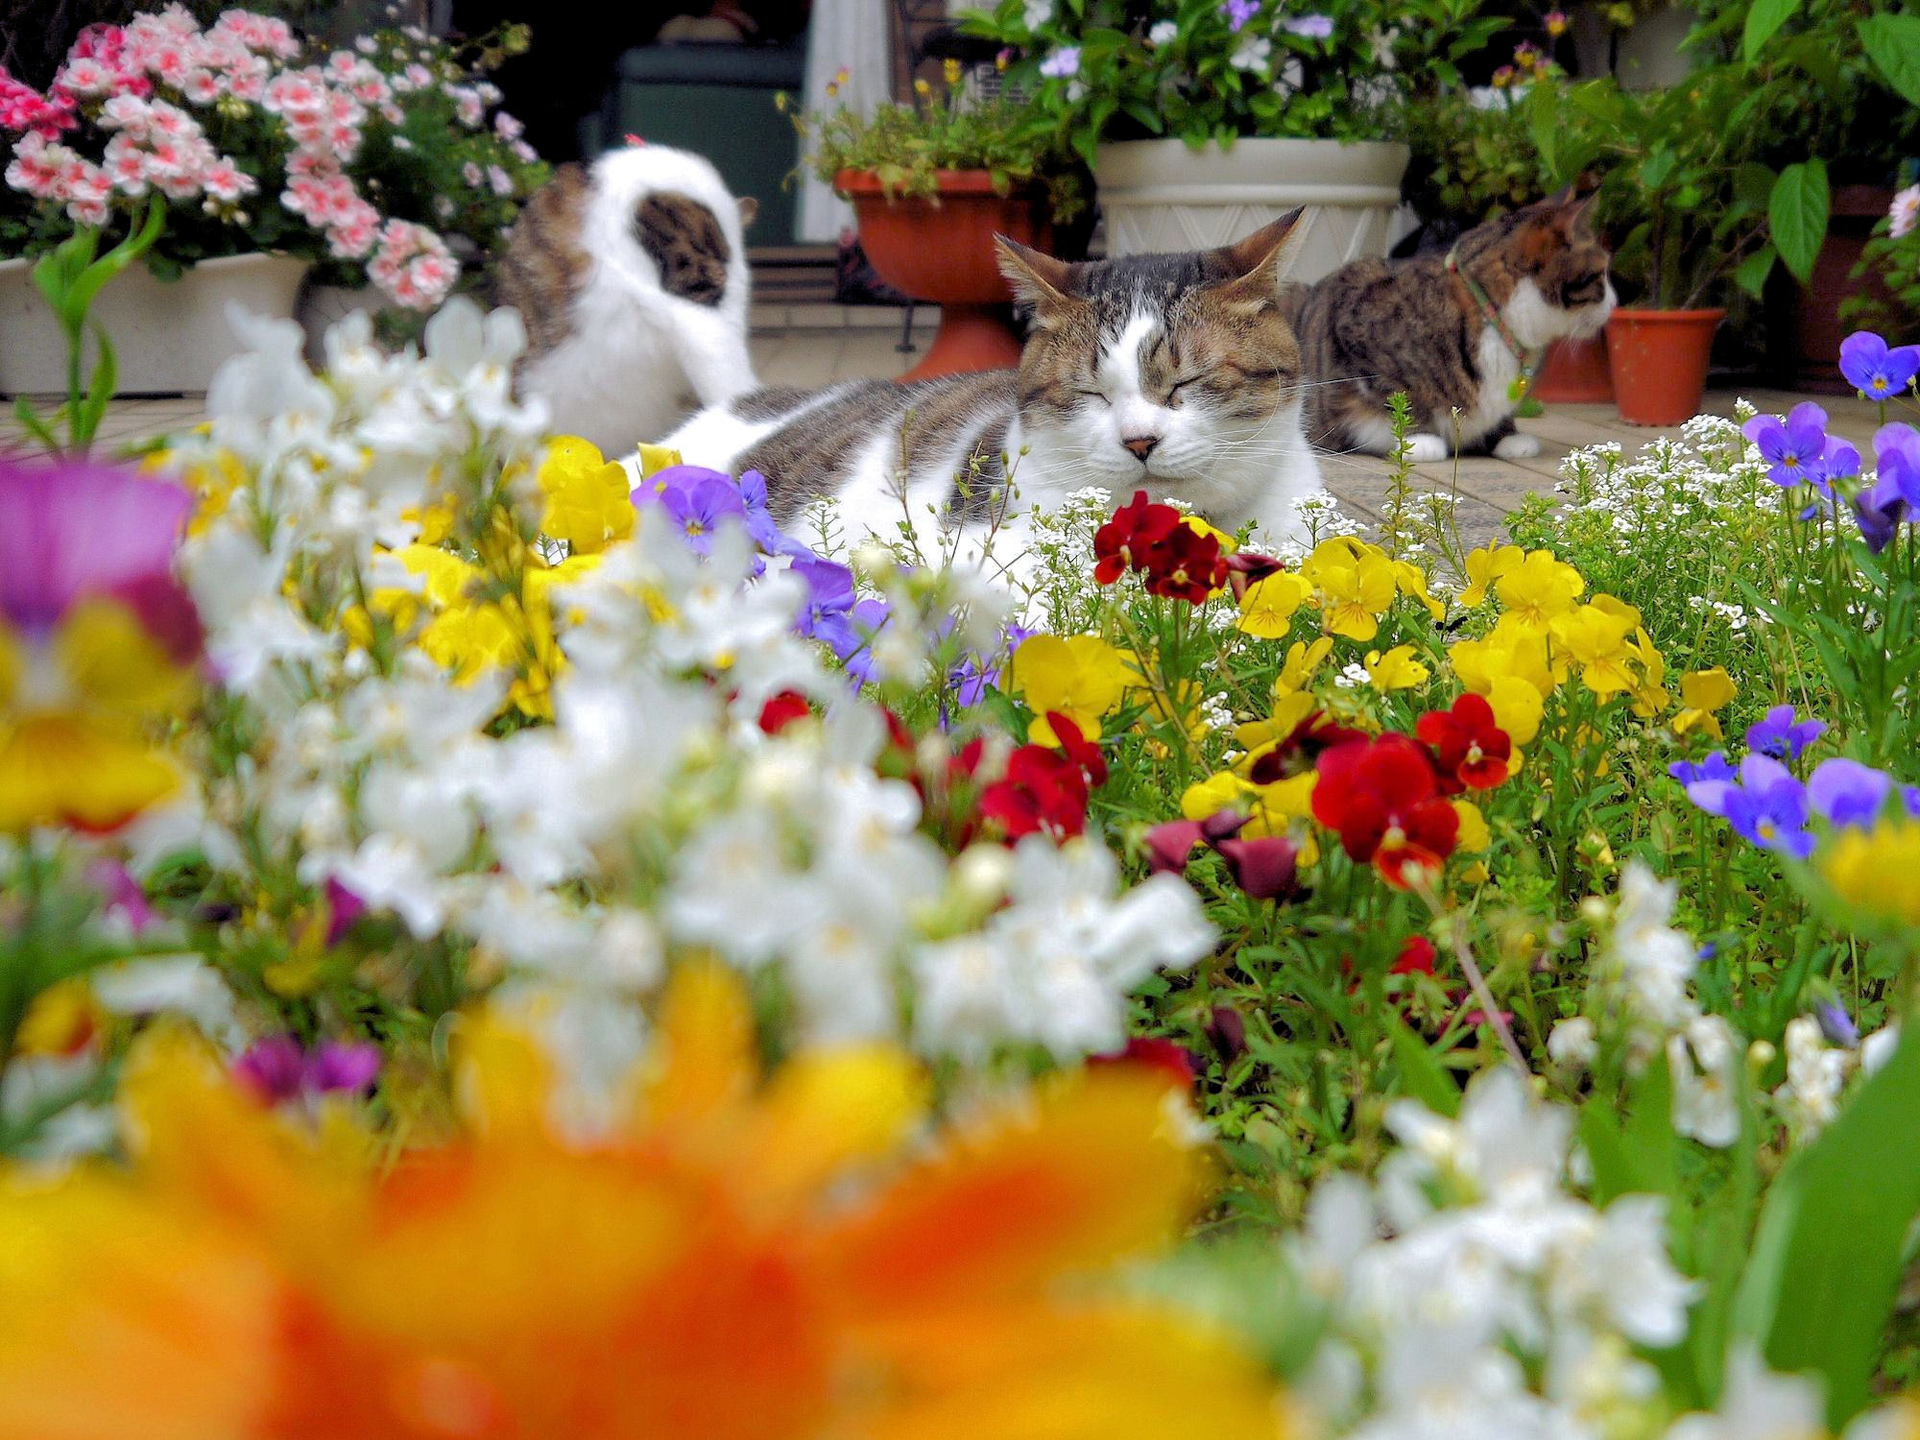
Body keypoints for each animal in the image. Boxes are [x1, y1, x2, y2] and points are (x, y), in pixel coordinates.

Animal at [1282, 189, 1612, 462]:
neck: (1489, 314)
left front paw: (1507, 436)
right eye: (1600, 274)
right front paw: (1420, 438)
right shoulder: (1354, 332)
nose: (1614, 304)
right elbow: (1399, 395)